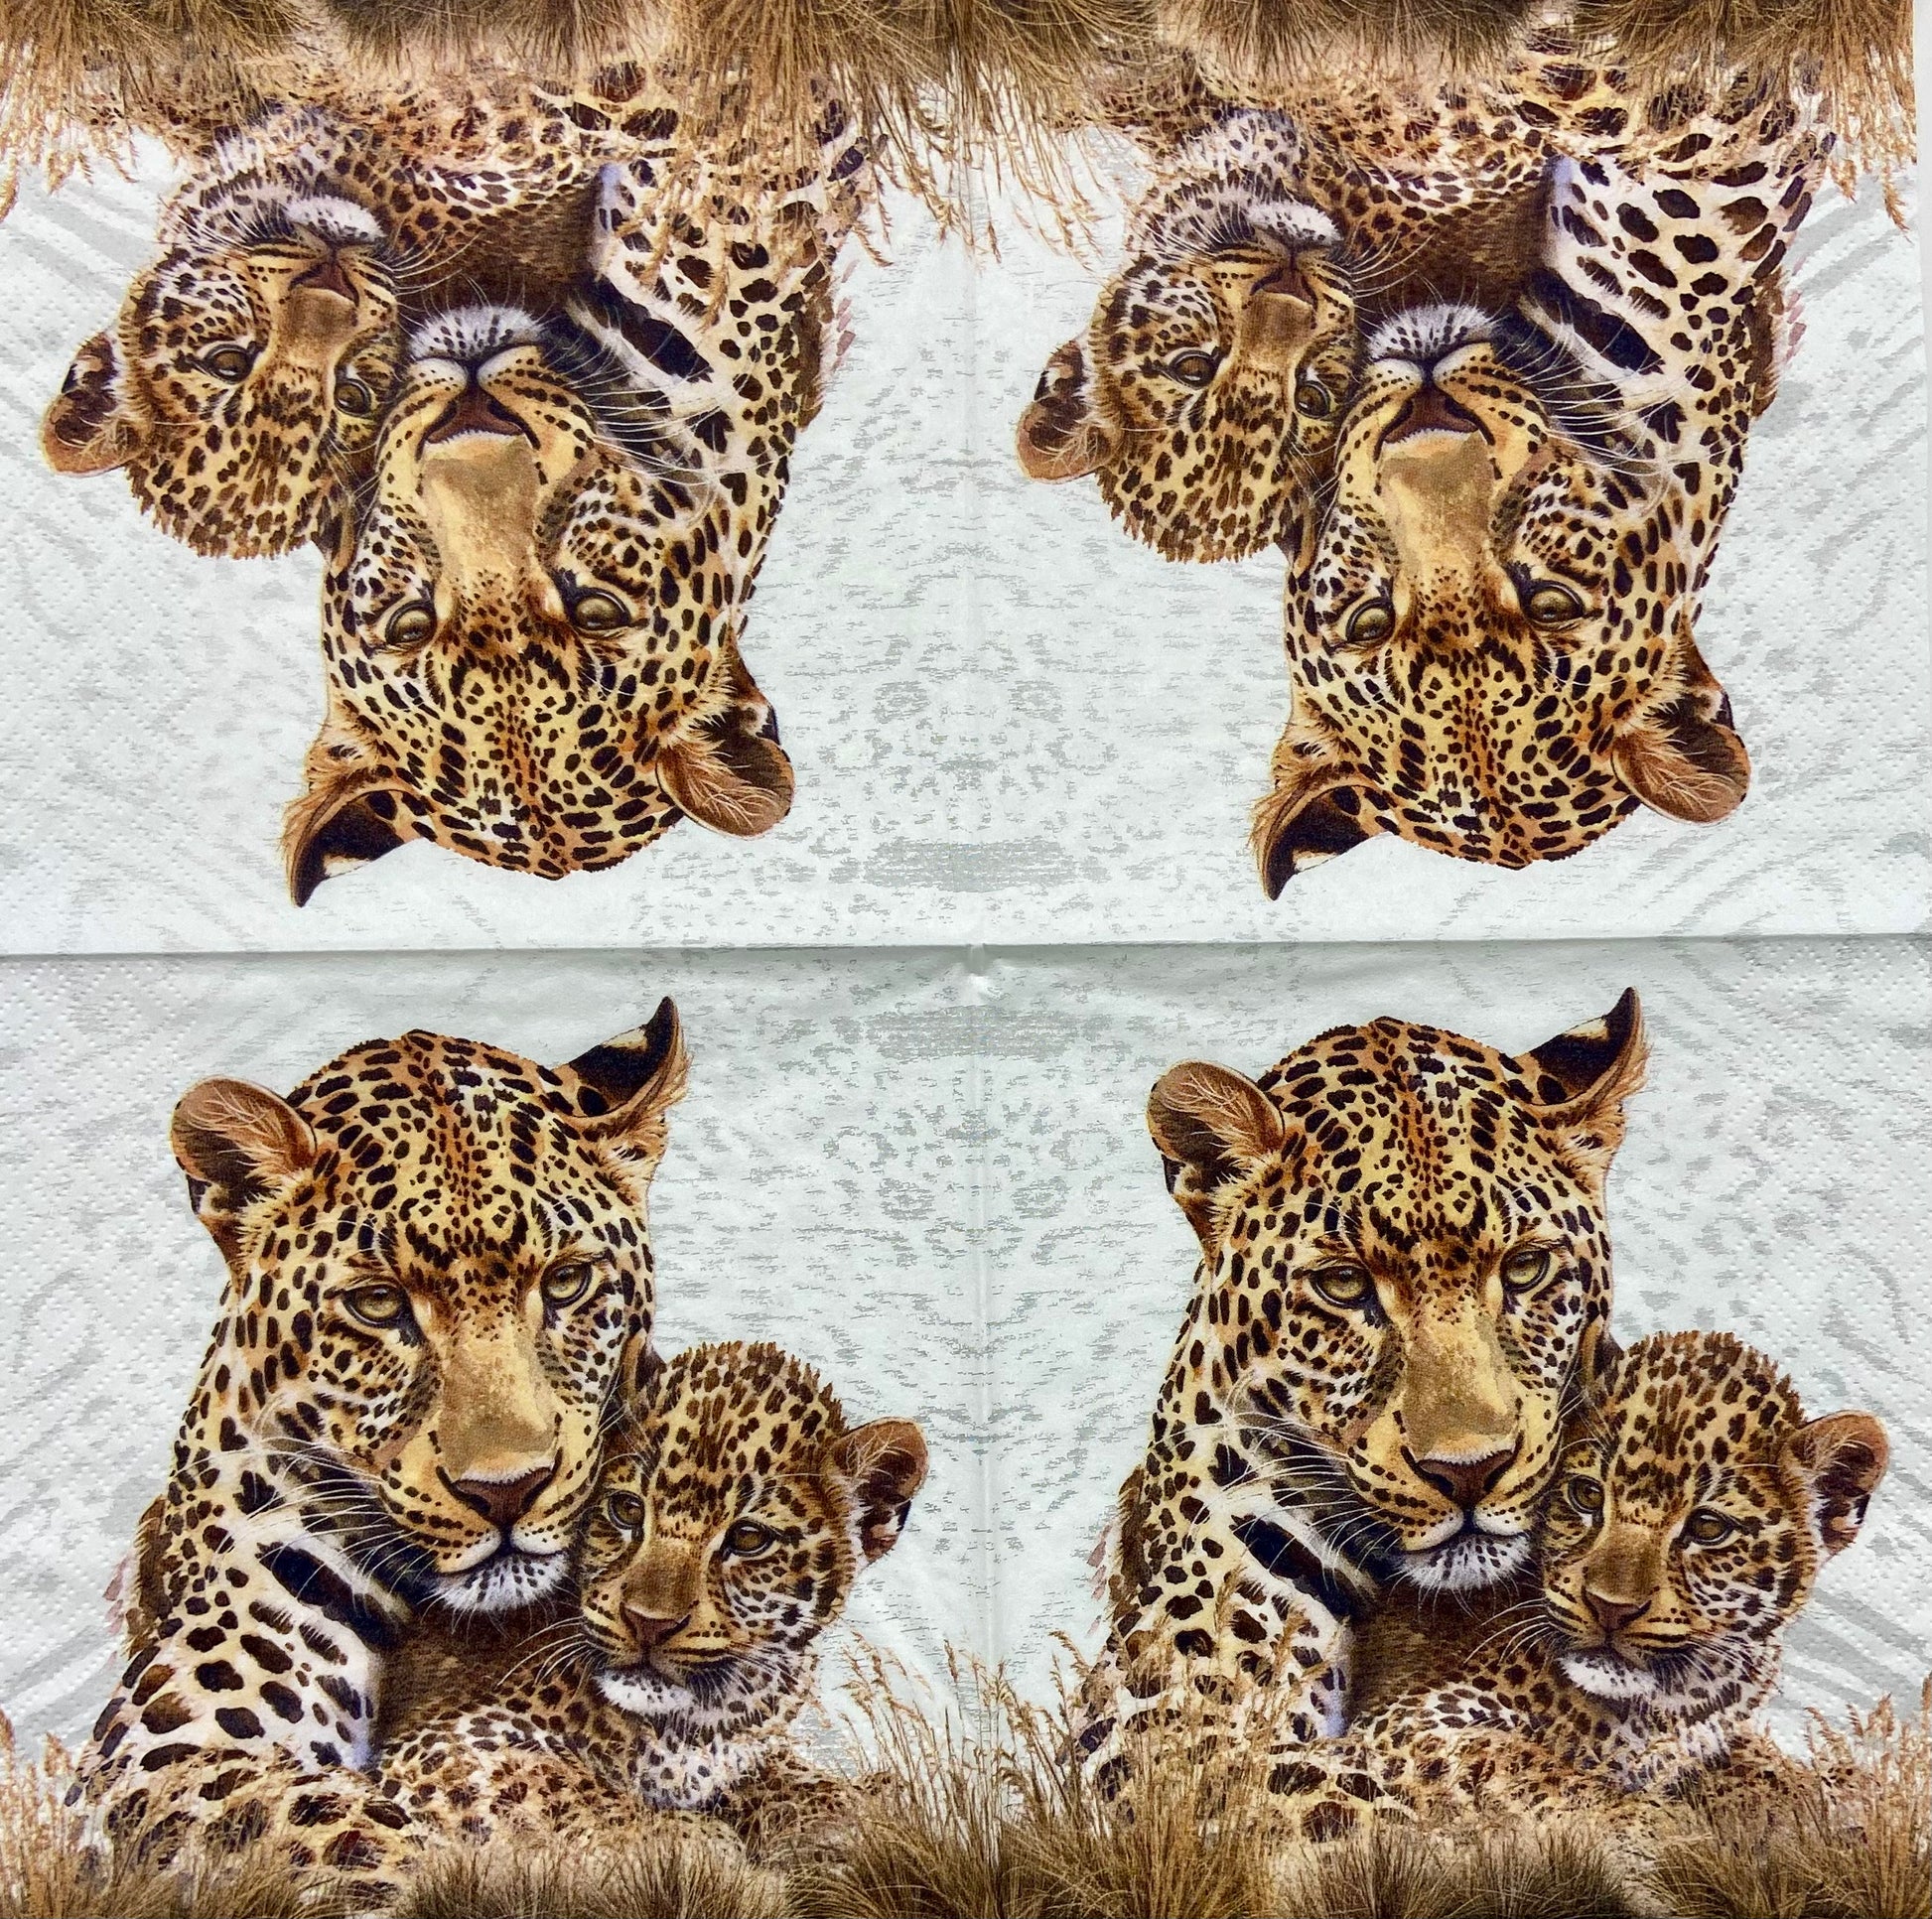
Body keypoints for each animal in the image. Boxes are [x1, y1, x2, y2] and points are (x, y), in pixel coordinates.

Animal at [1254, 1329, 1889, 1839]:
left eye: (1708, 1528)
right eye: (1586, 1496)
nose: (1609, 1608)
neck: (1672, 1700)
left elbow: (1768, 1774)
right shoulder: (1410, 1723)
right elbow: (1530, 1766)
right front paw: (1663, 1834)